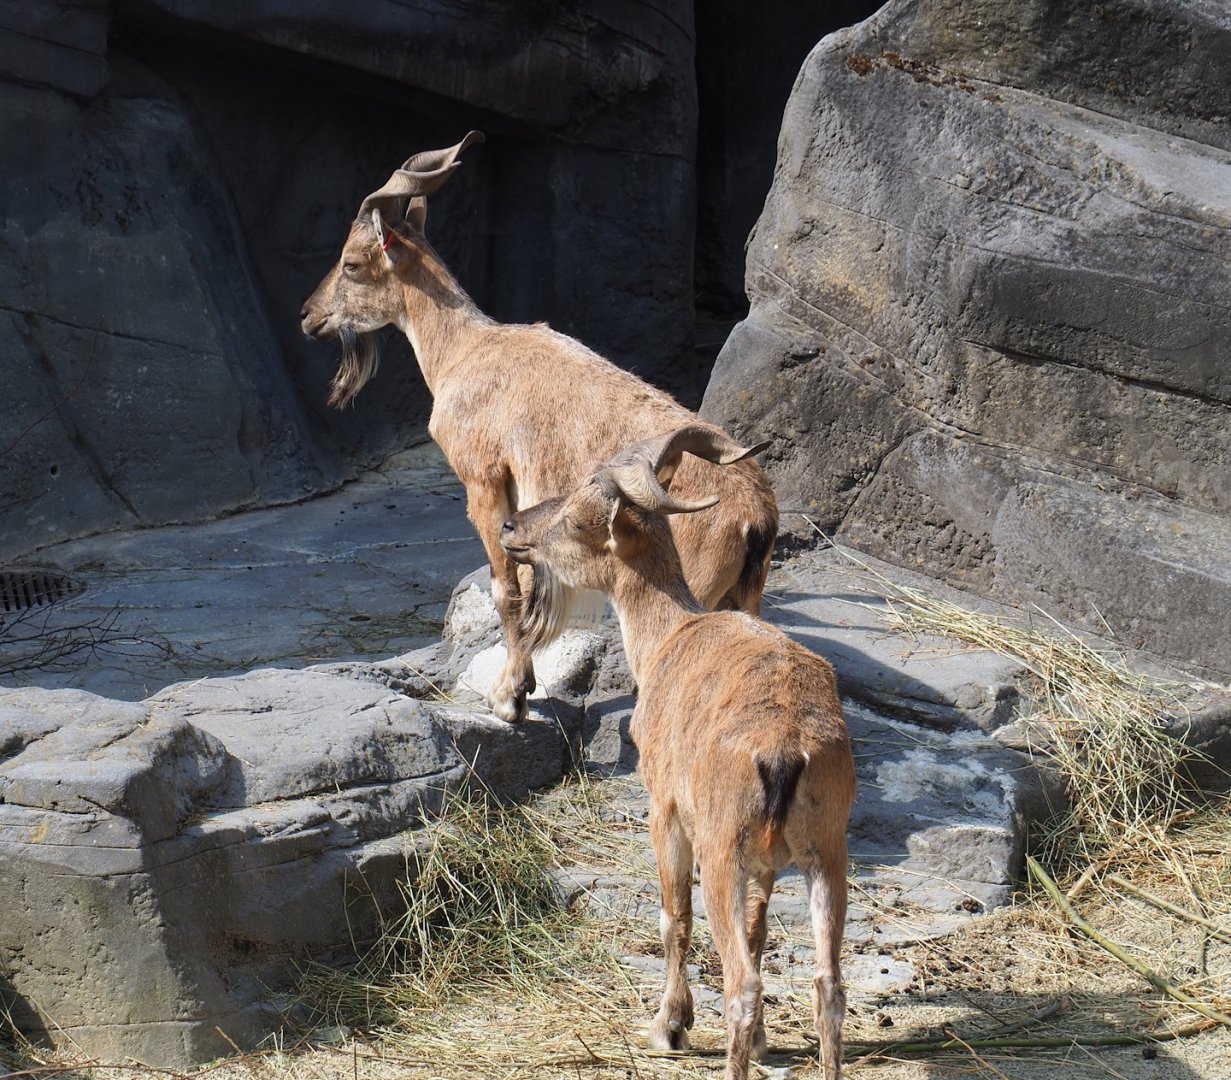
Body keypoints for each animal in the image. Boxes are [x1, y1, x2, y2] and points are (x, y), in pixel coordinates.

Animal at [301, 133, 778, 723]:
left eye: (351, 264)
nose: (307, 316)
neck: (464, 352)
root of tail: (757, 517)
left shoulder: (484, 481)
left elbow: (508, 590)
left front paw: (510, 697)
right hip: (744, 595)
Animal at [499, 423, 854, 1080]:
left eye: (579, 515)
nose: (512, 527)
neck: (667, 637)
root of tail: (787, 750)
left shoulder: (664, 809)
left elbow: (674, 920)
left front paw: (669, 1026)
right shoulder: (770, 864)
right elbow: (759, 931)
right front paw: (762, 1043)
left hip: (723, 848)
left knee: (742, 985)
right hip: (827, 850)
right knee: (828, 984)